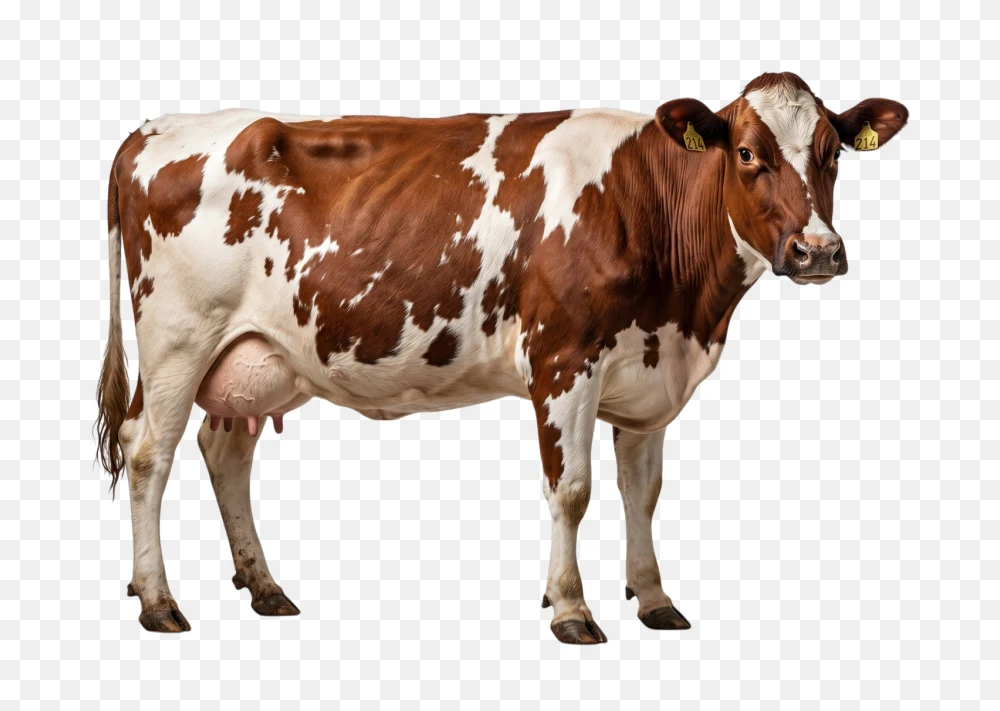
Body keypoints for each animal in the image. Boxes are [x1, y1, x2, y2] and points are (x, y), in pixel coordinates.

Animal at [96, 72, 907, 643]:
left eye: (832, 152)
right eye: (746, 153)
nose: (817, 251)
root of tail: (153, 127)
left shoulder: (647, 369)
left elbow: (642, 493)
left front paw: (654, 598)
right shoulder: (565, 360)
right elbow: (572, 489)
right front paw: (571, 608)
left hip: (258, 356)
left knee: (224, 451)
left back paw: (264, 587)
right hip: (177, 339)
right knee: (149, 452)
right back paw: (159, 599)